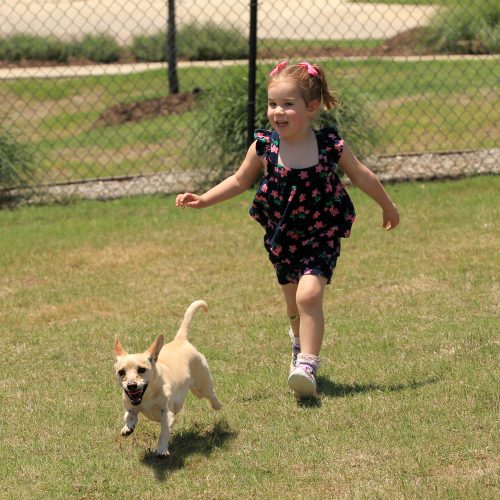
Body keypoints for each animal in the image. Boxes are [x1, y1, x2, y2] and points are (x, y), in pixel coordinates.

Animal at [116, 298, 222, 456]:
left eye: (141, 370)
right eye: (121, 372)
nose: (131, 385)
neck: (147, 395)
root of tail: (180, 340)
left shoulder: (167, 414)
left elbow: (164, 432)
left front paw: (161, 449)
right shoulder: (131, 406)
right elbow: (129, 415)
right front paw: (128, 428)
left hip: (203, 384)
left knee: (211, 394)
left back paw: (217, 405)